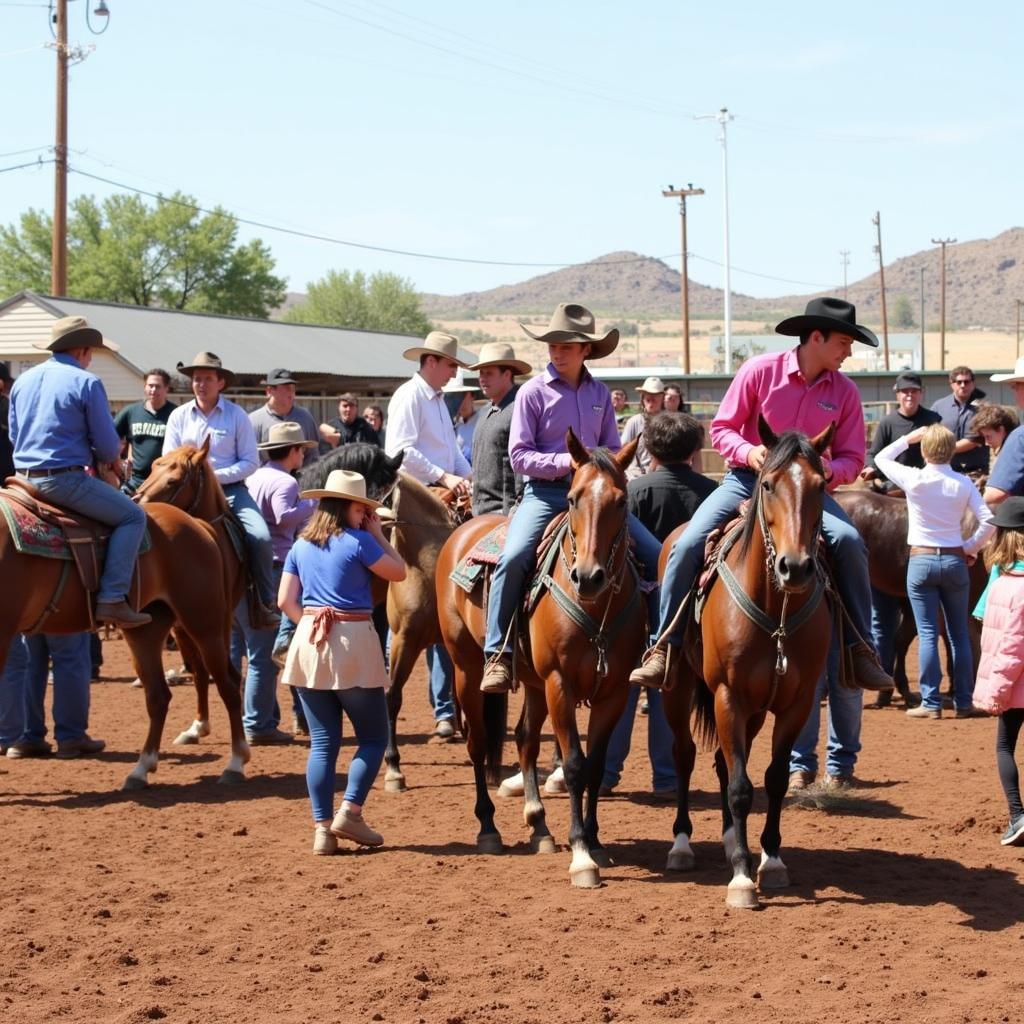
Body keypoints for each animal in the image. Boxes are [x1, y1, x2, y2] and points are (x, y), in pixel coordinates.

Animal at [0, 444, 247, 786]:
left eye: (174, 480)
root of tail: (200, 525)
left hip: (204, 622)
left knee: (227, 684)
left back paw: (235, 764)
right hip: (149, 630)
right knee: (160, 696)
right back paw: (141, 769)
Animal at [434, 428, 643, 884]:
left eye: (622, 501)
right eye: (572, 498)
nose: (589, 577)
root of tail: (464, 528)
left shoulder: (614, 692)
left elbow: (596, 765)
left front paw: (596, 842)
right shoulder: (559, 684)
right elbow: (576, 764)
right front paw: (581, 853)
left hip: (531, 683)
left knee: (524, 739)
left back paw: (539, 826)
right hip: (466, 667)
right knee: (478, 743)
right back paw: (488, 829)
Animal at [659, 419, 835, 909]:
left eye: (821, 484)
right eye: (768, 483)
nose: (795, 567)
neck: (776, 612)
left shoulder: (794, 704)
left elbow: (772, 779)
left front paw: (770, 859)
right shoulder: (727, 696)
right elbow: (741, 788)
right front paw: (741, 878)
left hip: (754, 712)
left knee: (723, 761)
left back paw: (727, 839)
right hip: (680, 689)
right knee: (684, 755)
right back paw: (682, 844)